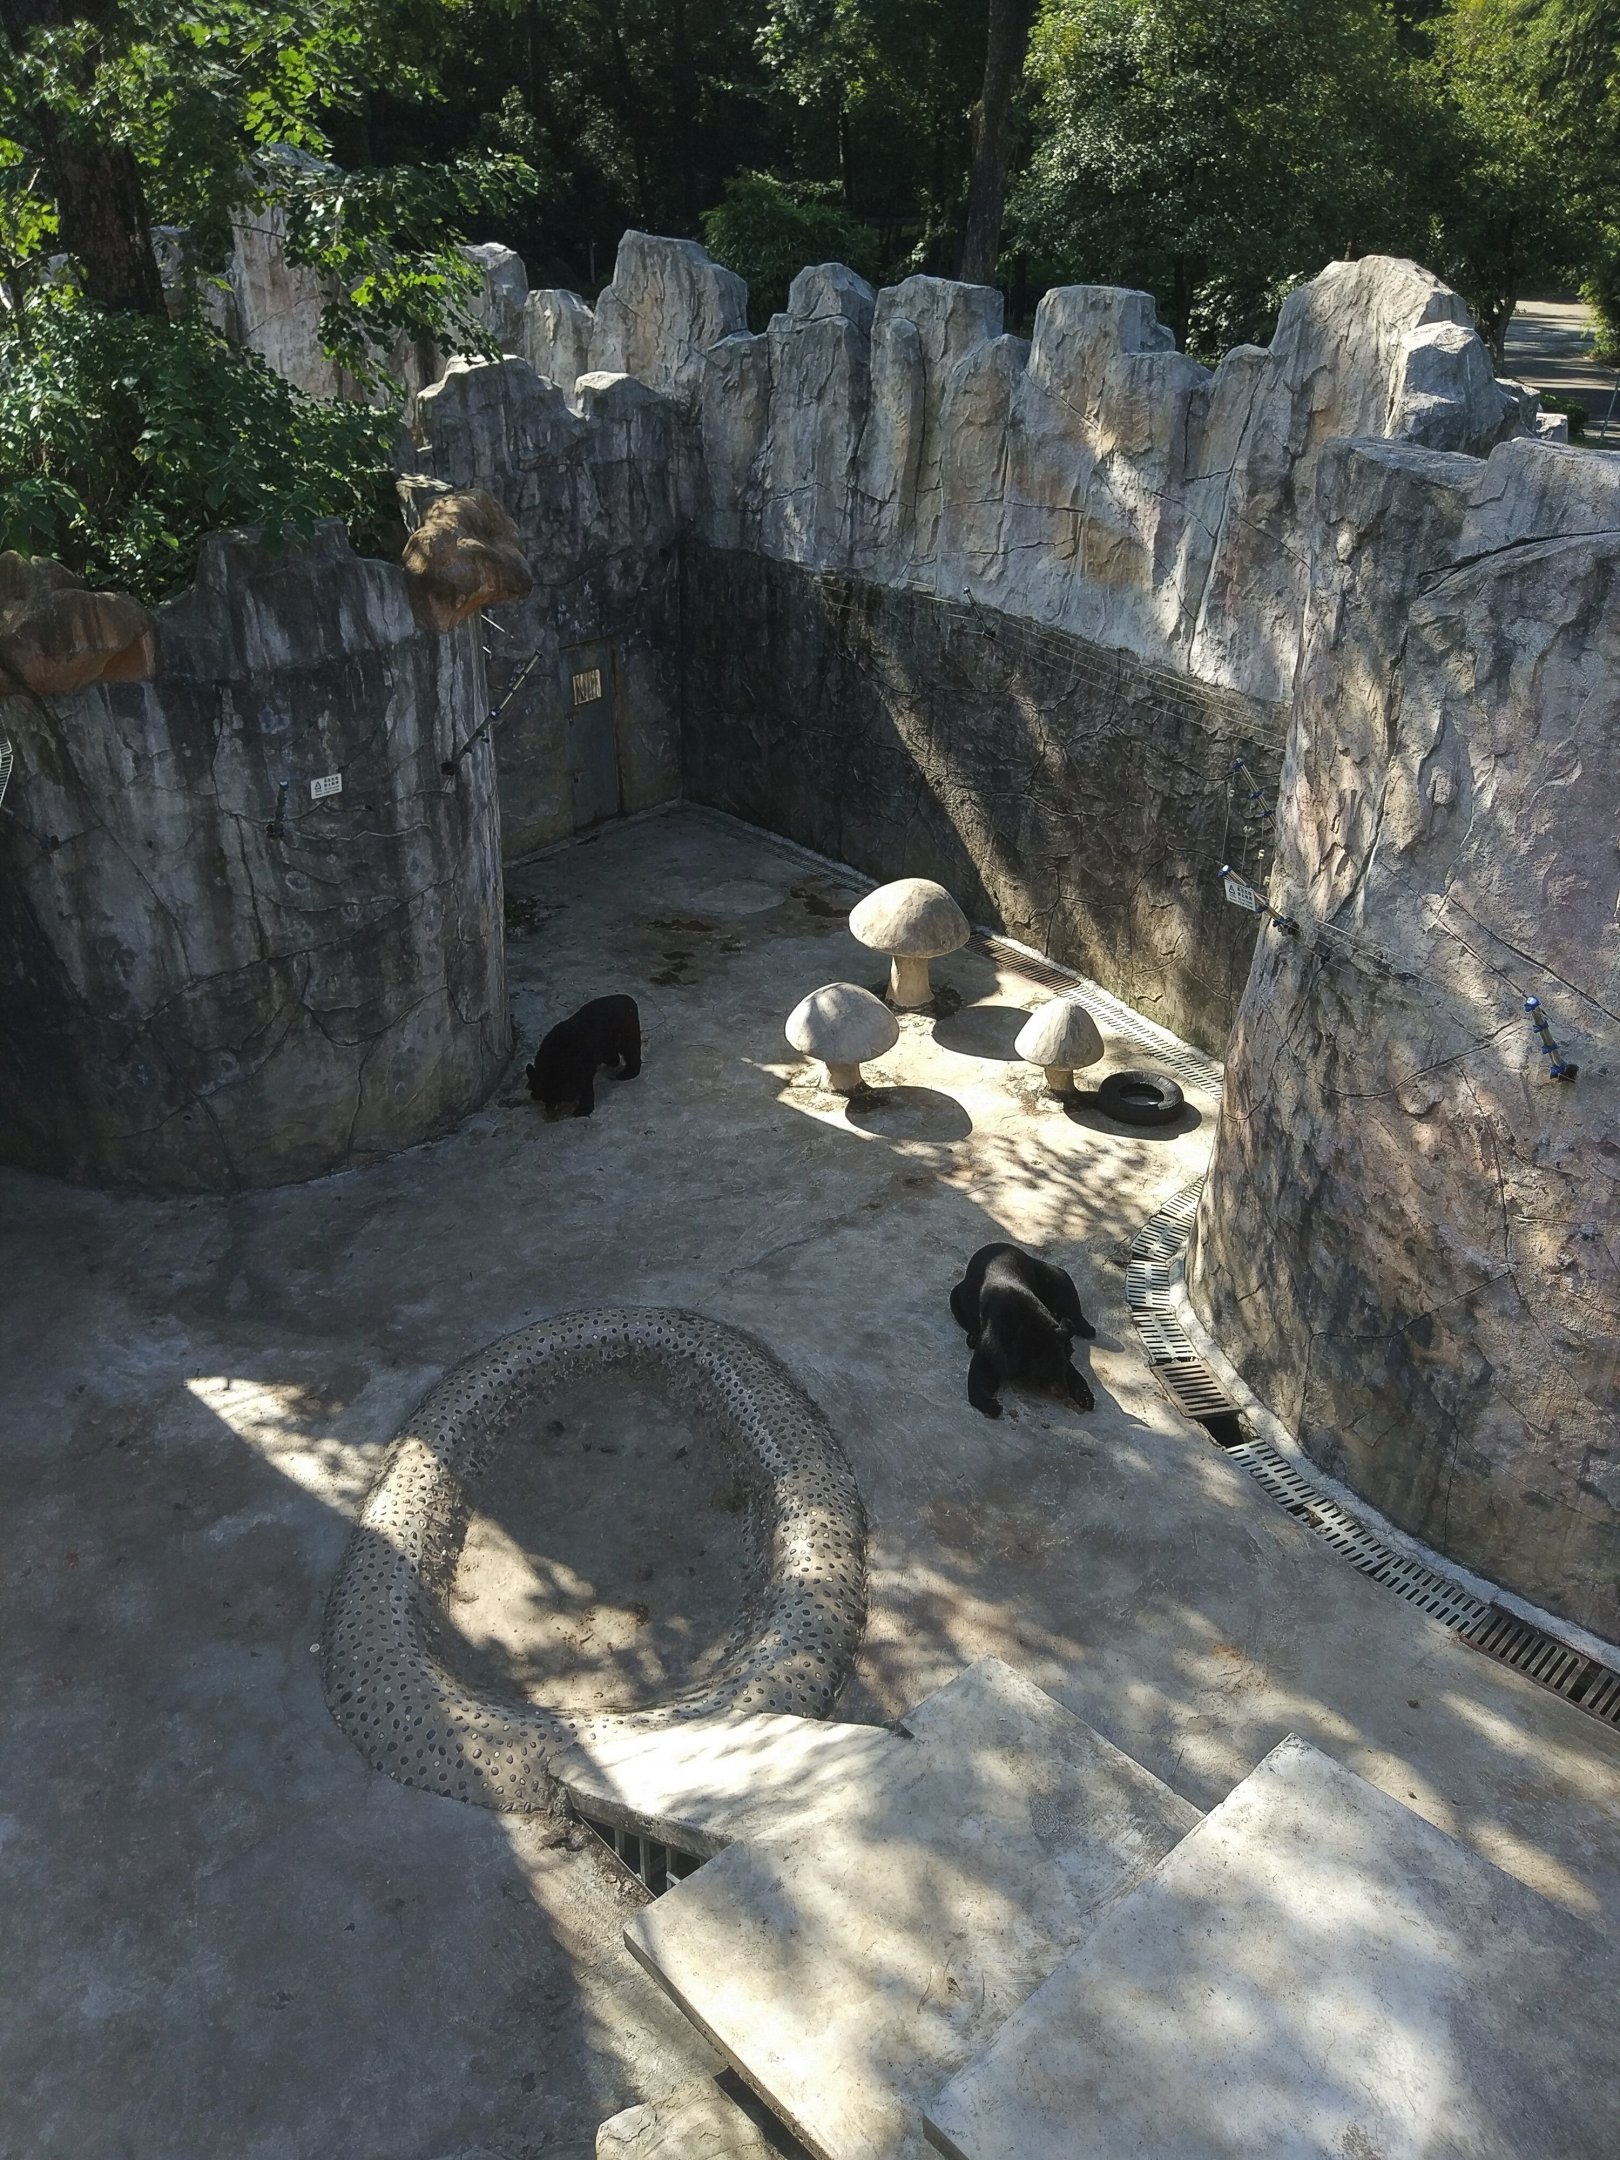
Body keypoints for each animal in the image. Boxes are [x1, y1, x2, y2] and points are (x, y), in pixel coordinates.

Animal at [949, 1241, 1096, 1419]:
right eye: (1045, 1375)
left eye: (1061, 1371)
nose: (1063, 1393)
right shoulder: (995, 1340)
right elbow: (983, 1367)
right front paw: (992, 1406)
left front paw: (1086, 1397)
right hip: (958, 1296)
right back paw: (972, 1337)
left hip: (1045, 1273)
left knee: (1064, 1285)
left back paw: (1086, 1328)